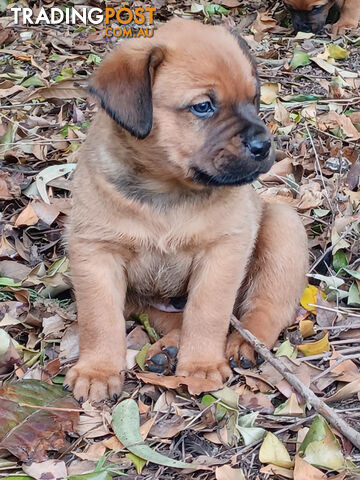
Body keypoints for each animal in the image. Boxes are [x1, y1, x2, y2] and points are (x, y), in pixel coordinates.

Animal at [64, 17, 306, 402]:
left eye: (254, 99)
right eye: (203, 107)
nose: (264, 145)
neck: (167, 192)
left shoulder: (222, 252)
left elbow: (206, 313)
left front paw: (202, 366)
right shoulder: (96, 253)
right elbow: (99, 319)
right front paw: (97, 370)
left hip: (284, 228)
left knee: (265, 310)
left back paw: (242, 345)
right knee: (173, 319)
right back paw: (166, 351)